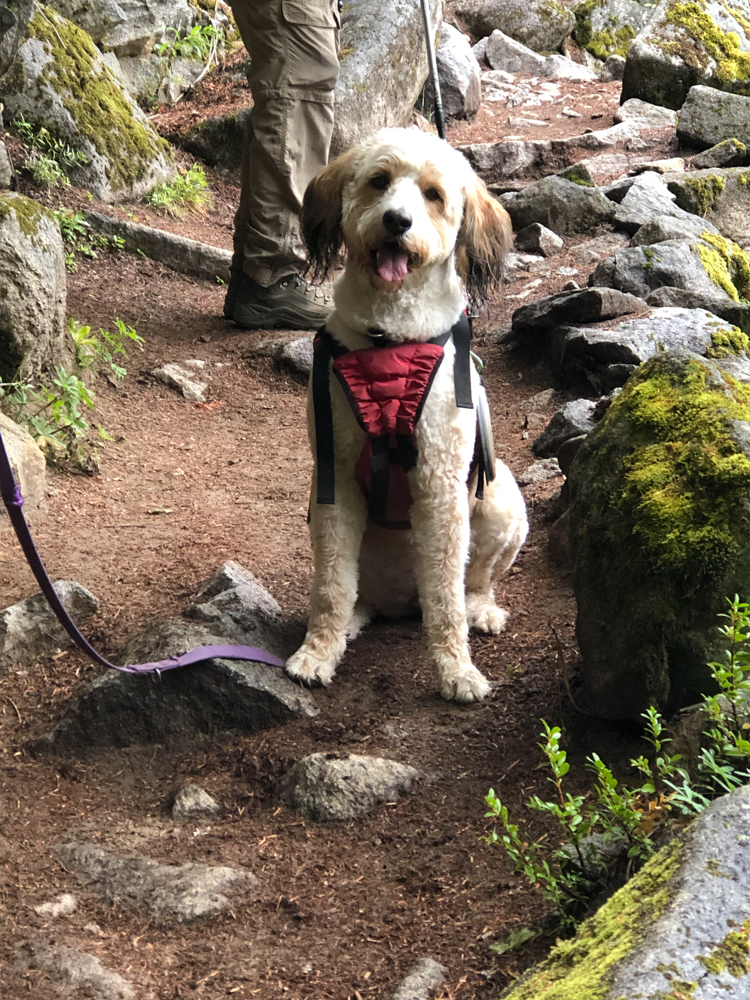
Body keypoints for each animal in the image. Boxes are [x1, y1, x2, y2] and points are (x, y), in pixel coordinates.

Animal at [284, 127, 532, 704]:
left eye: (434, 195)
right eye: (379, 181)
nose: (398, 221)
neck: (388, 339)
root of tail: (399, 603)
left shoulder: (440, 483)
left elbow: (446, 595)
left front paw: (456, 670)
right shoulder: (334, 481)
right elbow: (330, 585)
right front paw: (318, 652)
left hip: (500, 499)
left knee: (473, 581)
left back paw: (481, 609)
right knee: (355, 590)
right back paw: (355, 619)